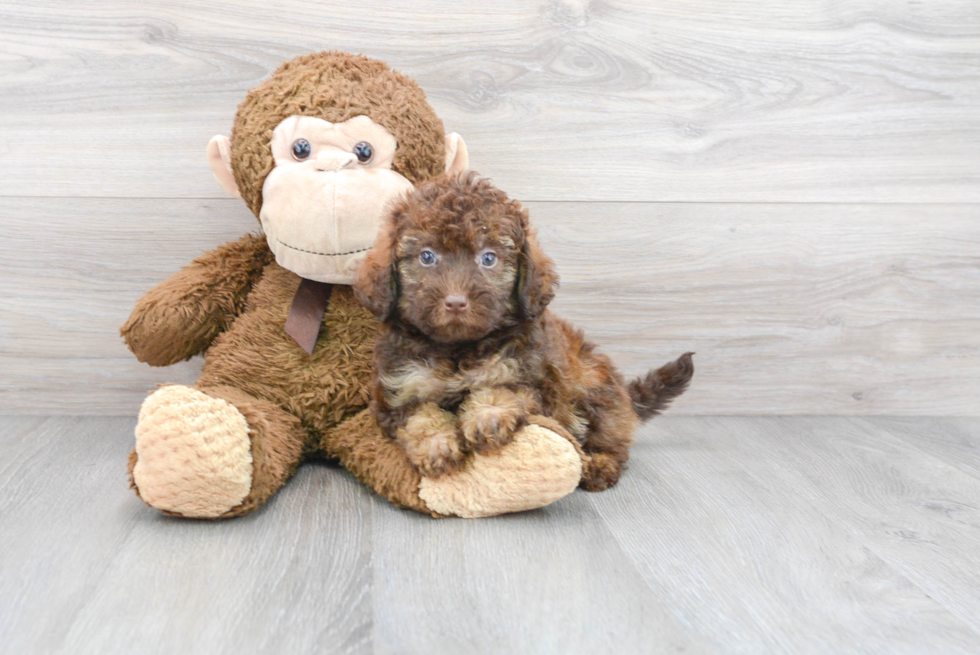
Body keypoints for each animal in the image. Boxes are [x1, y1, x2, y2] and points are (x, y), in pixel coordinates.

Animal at [356, 174, 692, 492]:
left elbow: (504, 388)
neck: (457, 349)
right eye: (427, 256)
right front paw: (436, 445)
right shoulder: (397, 391)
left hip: (595, 388)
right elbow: (420, 415)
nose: (455, 301)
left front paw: (487, 416)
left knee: (612, 439)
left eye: (488, 258)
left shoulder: (534, 379)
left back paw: (600, 464)